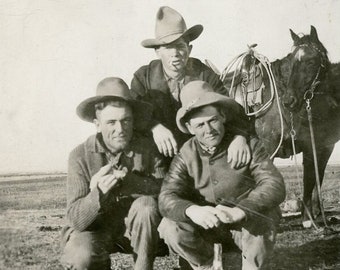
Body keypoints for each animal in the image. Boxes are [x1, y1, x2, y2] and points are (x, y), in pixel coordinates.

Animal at [215, 25, 340, 228]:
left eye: (311, 61)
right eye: (293, 61)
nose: (290, 101)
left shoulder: (322, 146)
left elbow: (316, 178)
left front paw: (314, 216)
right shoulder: (272, 146)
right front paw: (307, 219)